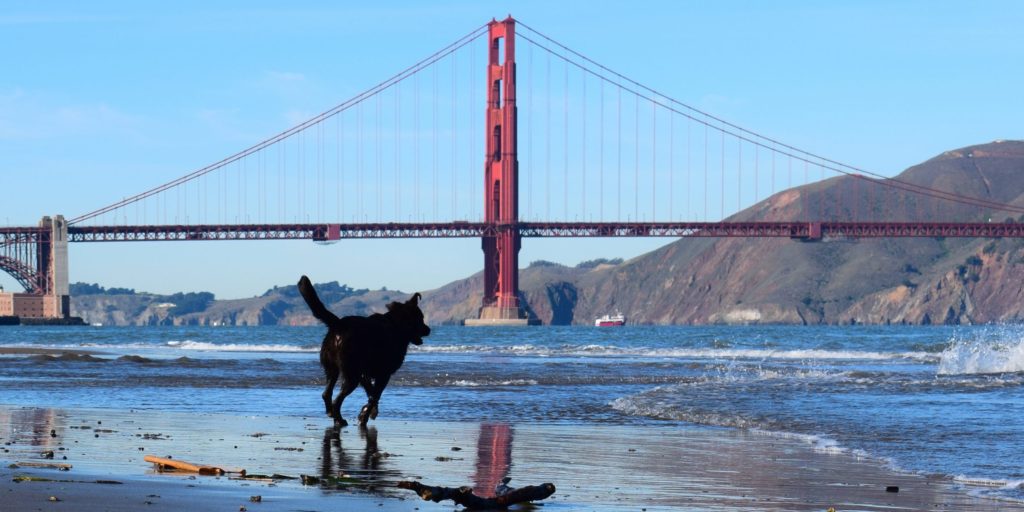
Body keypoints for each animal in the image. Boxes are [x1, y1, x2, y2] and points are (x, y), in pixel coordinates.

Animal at [296, 276, 428, 428]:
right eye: (420, 319)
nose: (429, 330)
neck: (396, 325)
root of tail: (340, 325)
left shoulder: (365, 374)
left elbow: (372, 394)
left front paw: (367, 412)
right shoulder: (383, 374)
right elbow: (374, 396)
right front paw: (365, 416)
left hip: (333, 369)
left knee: (326, 394)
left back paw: (332, 414)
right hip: (351, 375)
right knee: (337, 400)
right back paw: (339, 420)